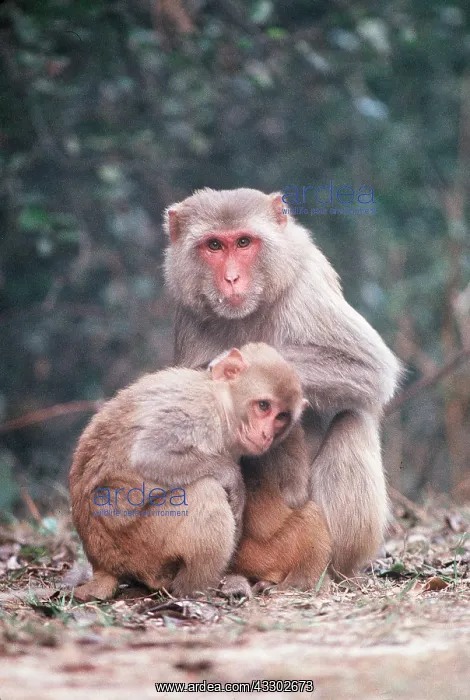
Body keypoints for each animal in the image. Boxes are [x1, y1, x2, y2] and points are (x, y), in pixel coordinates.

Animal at [69, 342, 307, 601]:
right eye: (263, 406)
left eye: (281, 417)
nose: (266, 435)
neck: (221, 405)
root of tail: (100, 563)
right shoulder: (199, 412)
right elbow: (149, 455)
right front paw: (233, 478)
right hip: (137, 543)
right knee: (205, 490)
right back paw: (197, 589)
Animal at [163, 187, 402, 578]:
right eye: (214, 245)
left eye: (243, 242)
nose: (231, 279)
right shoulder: (189, 311)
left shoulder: (306, 288)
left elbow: (367, 365)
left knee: (353, 419)